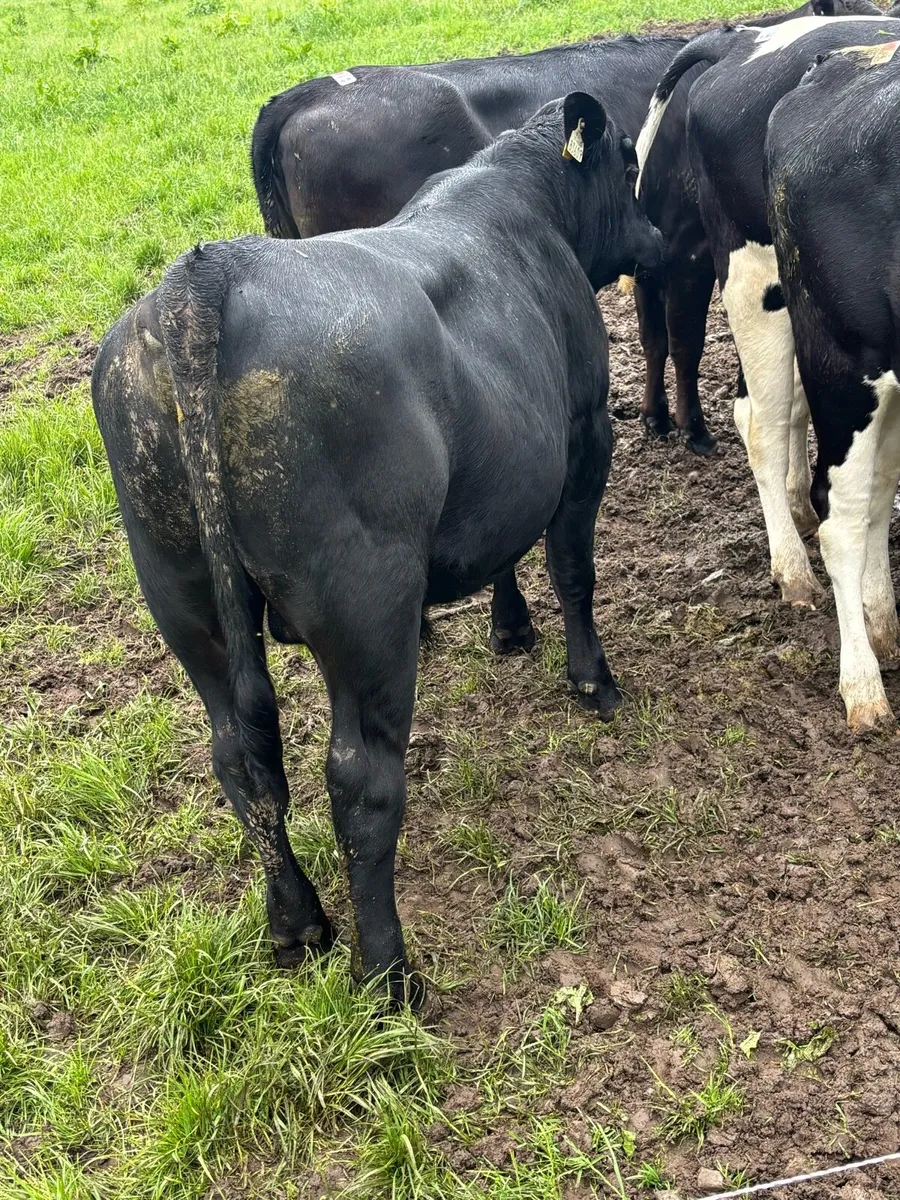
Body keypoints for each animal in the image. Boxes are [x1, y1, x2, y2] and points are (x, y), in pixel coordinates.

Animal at [92, 94, 663, 1006]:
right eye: (629, 164)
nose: (655, 238)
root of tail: (206, 276)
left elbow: (504, 546)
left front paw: (510, 627)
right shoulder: (583, 436)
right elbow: (573, 568)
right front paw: (593, 681)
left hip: (181, 596)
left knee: (241, 759)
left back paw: (297, 926)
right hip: (367, 608)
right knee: (360, 782)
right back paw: (389, 975)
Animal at [251, 3, 853, 461]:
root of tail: (302, 94)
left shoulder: (653, 251)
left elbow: (654, 340)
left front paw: (656, 420)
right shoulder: (690, 251)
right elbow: (686, 343)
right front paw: (696, 431)